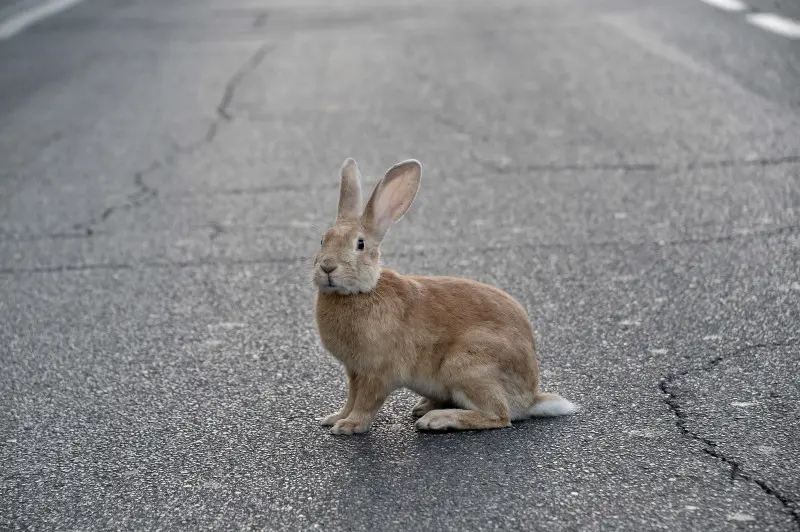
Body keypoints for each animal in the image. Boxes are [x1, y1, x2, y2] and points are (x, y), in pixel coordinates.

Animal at [310, 156, 576, 434]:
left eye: (360, 244)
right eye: (323, 240)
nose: (327, 267)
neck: (362, 291)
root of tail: (530, 398)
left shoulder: (377, 372)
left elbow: (365, 401)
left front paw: (349, 426)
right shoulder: (354, 371)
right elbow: (351, 397)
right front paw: (334, 418)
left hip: (467, 366)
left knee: (498, 416)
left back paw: (437, 419)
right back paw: (425, 408)